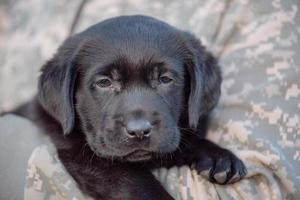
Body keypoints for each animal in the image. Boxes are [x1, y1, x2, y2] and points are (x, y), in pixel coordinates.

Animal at [11, 15, 246, 200]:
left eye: (165, 79)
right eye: (104, 82)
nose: (139, 131)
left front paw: (218, 157)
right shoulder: (83, 155)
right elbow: (136, 182)